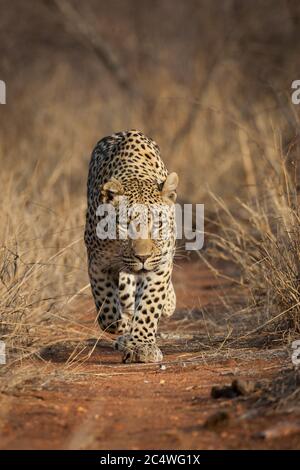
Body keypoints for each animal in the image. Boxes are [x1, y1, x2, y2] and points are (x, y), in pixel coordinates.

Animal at [84, 129, 178, 364]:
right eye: (126, 225)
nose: (142, 258)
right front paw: (123, 328)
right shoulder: (97, 263)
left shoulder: (161, 265)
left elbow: (150, 304)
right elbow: (107, 312)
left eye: (159, 224)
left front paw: (142, 346)